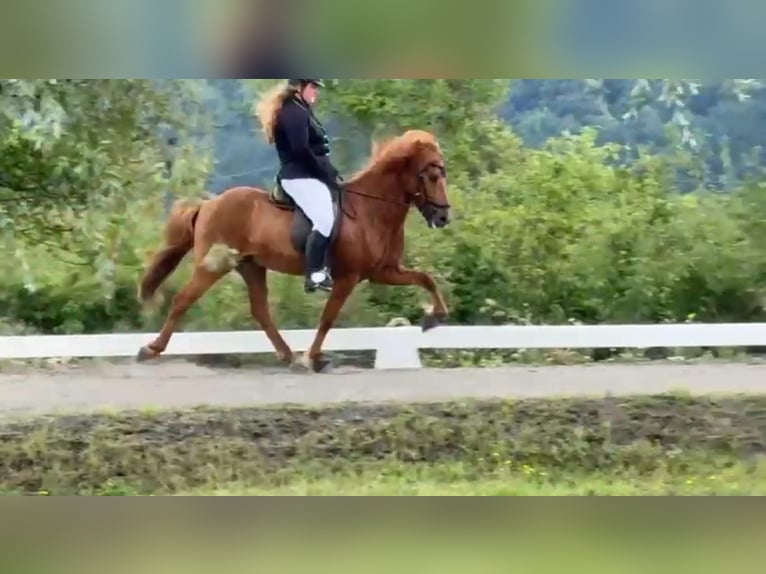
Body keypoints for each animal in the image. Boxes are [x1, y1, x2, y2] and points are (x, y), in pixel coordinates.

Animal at [136, 128, 452, 373]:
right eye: (432, 176)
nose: (443, 217)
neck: (370, 210)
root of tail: (208, 204)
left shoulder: (383, 271)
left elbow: (426, 278)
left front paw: (435, 317)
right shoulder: (348, 278)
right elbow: (327, 318)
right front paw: (312, 358)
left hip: (251, 266)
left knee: (260, 310)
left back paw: (288, 355)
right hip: (213, 265)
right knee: (183, 300)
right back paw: (150, 349)